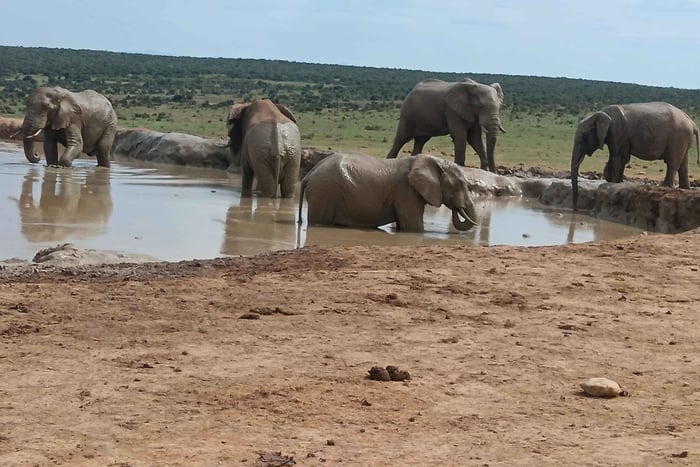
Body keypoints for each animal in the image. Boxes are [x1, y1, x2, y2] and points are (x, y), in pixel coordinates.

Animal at [298, 152, 478, 232]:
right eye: (460, 184)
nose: (457, 206)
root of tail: (308, 175)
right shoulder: (406, 192)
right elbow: (414, 227)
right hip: (324, 192)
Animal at [570, 102, 700, 210]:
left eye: (583, 136)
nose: (575, 208)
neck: (599, 114)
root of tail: (692, 122)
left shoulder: (618, 132)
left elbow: (619, 157)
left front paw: (615, 183)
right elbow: (615, 157)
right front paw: (613, 180)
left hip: (678, 137)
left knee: (673, 162)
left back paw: (666, 186)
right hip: (683, 138)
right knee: (683, 164)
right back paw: (684, 188)